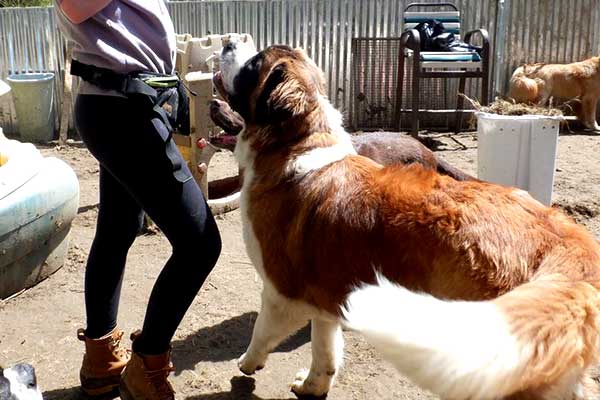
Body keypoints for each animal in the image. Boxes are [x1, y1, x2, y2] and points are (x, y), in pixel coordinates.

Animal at [213, 41, 600, 400]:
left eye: (253, 64)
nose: (228, 41)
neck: (297, 144)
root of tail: (564, 245)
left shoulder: (281, 292)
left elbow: (262, 331)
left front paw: (248, 363)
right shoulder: (326, 295)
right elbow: (325, 348)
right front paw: (313, 385)